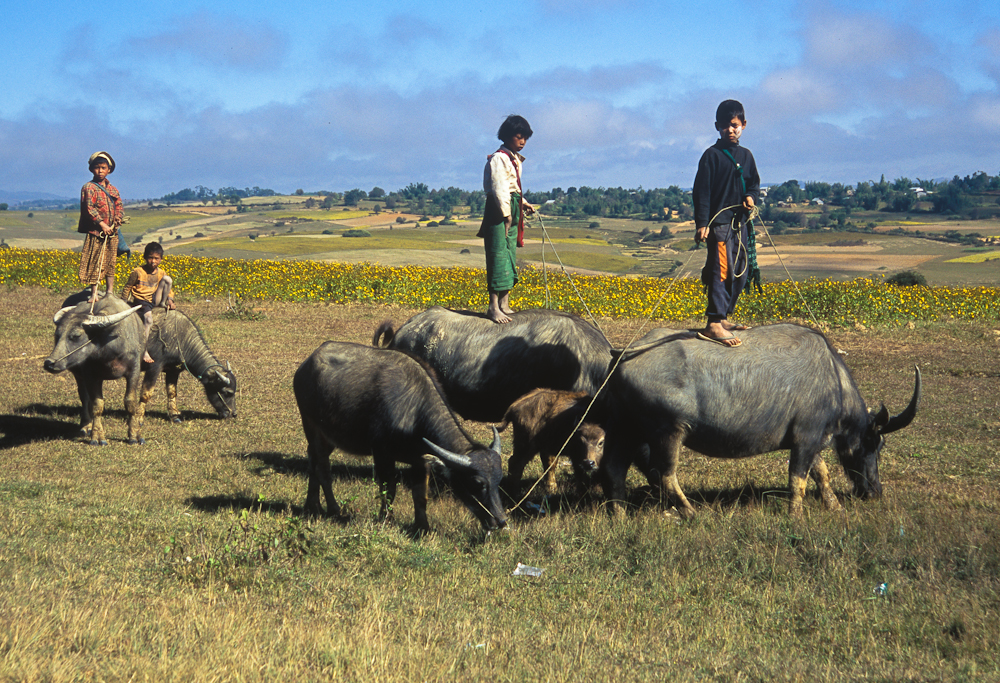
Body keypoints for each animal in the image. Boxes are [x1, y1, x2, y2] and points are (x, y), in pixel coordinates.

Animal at [44, 296, 146, 446]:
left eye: (76, 336)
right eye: (57, 335)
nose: (49, 363)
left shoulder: (134, 370)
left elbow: (130, 402)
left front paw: (135, 435)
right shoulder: (90, 375)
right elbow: (97, 405)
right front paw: (97, 436)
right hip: (79, 376)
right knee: (85, 397)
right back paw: (85, 427)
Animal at [290, 342, 508, 536]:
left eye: (498, 481)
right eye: (478, 483)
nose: (501, 521)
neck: (414, 415)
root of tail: (306, 365)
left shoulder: (421, 461)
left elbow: (420, 496)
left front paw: (422, 527)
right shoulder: (382, 454)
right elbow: (389, 490)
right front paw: (386, 519)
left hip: (329, 438)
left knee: (312, 464)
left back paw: (312, 505)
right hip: (312, 428)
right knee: (323, 470)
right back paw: (334, 509)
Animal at [596, 326, 916, 520]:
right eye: (872, 444)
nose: (874, 492)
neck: (833, 379)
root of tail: (622, 356)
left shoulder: (813, 442)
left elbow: (822, 474)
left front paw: (834, 506)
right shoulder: (805, 439)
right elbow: (798, 480)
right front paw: (795, 516)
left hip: (624, 429)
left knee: (613, 468)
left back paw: (619, 513)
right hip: (669, 432)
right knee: (664, 474)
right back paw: (691, 512)